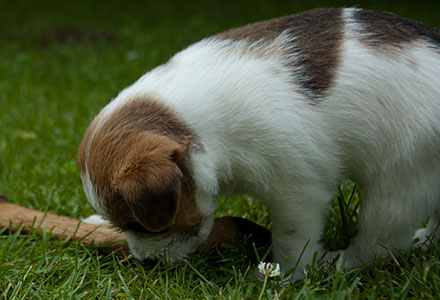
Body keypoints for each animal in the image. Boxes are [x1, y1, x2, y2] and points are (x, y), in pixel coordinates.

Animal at [77, 8, 440, 280]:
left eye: (139, 224)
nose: (146, 263)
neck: (199, 127)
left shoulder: (298, 191)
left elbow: (293, 239)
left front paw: (286, 274)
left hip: (397, 180)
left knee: (382, 240)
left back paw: (342, 262)